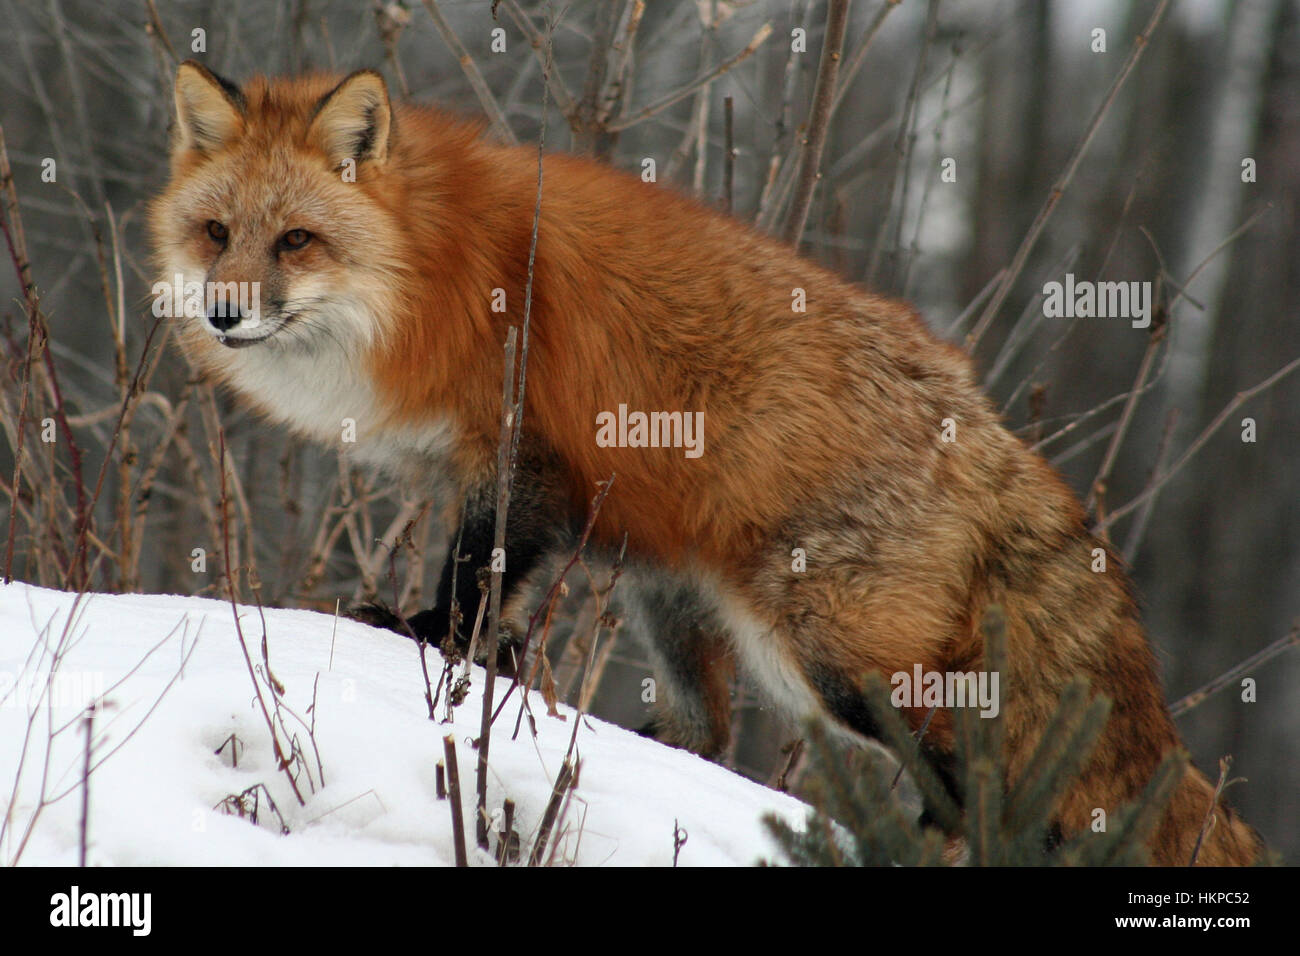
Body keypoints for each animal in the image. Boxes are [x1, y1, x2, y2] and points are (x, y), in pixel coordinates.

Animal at [149, 61, 1258, 868]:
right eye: (218, 233)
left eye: (297, 240)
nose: (224, 312)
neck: (436, 270)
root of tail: (979, 417)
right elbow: (496, 603)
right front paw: (479, 659)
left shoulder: (522, 457)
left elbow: (473, 578)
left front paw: (426, 638)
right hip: (679, 605)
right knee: (712, 739)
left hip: (832, 653)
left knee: (970, 780)